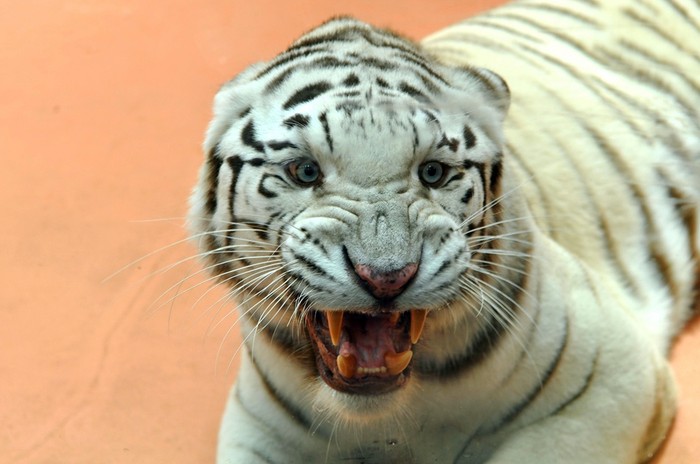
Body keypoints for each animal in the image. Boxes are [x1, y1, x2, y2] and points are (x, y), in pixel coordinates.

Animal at [187, 0, 700, 462]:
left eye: (433, 173)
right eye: (305, 171)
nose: (386, 277)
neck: (386, 423)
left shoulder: (609, 376)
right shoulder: (256, 427)